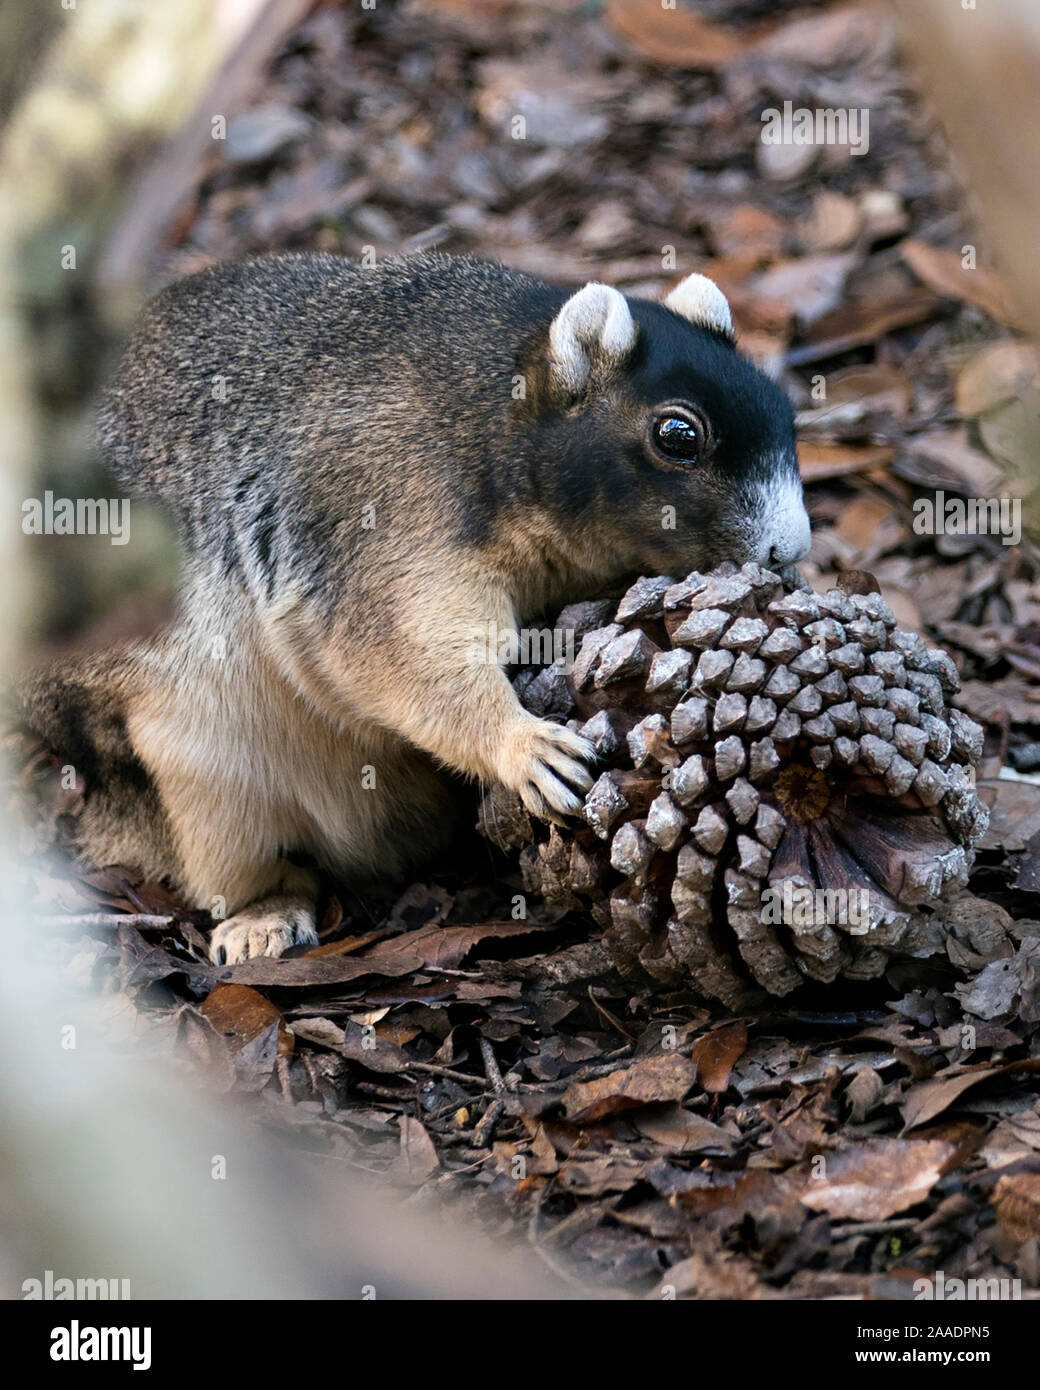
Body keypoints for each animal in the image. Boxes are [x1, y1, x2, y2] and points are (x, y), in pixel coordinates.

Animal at [18, 252, 811, 967]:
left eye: (787, 413)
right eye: (678, 435)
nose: (790, 550)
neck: (493, 416)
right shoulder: (386, 521)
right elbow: (404, 654)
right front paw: (526, 747)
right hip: (206, 773)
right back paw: (262, 918)